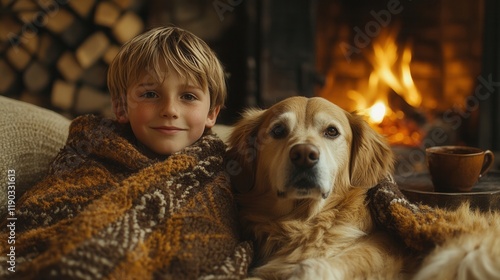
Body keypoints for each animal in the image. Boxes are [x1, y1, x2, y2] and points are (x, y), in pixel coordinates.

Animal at [226, 97, 500, 280]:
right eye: (278, 130)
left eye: (331, 131)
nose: (304, 155)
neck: (304, 221)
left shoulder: (385, 245)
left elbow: (320, 264)